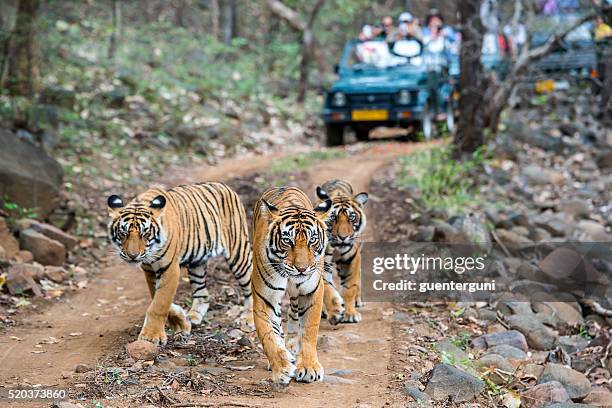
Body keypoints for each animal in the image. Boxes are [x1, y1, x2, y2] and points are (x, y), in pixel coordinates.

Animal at [106, 183, 252, 346]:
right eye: (123, 233)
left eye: (145, 234)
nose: (133, 256)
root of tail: (225, 186)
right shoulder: (149, 270)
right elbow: (156, 297)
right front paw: (181, 323)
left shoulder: (169, 268)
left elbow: (160, 303)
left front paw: (151, 336)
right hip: (197, 263)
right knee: (202, 293)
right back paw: (194, 317)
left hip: (238, 252)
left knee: (250, 285)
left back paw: (248, 319)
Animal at [251, 186, 332, 384]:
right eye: (288, 241)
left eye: (312, 240)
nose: (301, 268)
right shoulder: (265, 298)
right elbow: (269, 335)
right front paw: (281, 368)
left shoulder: (312, 292)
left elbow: (309, 331)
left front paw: (309, 367)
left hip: (297, 293)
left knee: (294, 313)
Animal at [316, 180, 368, 324]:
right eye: (333, 218)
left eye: (352, 218)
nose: (343, 237)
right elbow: (327, 288)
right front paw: (335, 311)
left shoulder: (352, 258)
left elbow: (350, 287)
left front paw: (350, 314)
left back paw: (358, 301)